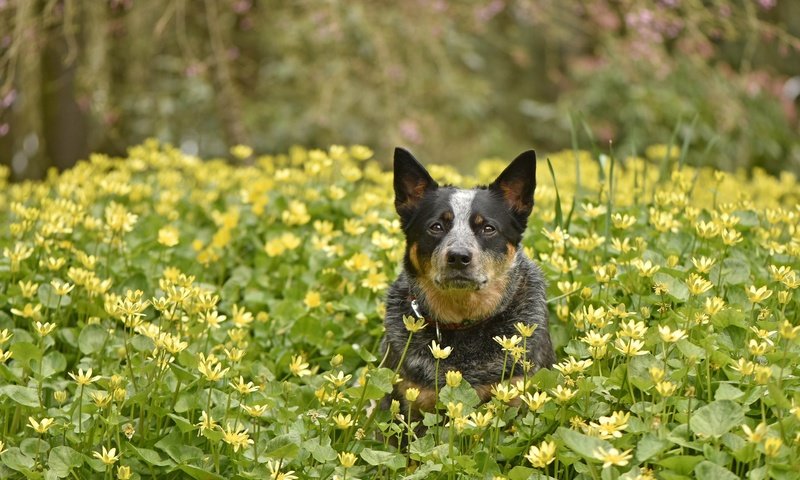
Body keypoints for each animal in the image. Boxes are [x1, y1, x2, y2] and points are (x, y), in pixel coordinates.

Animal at [382, 147, 556, 420]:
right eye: (436, 226)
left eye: (488, 228)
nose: (458, 256)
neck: (463, 323)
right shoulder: (410, 403)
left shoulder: (517, 394)